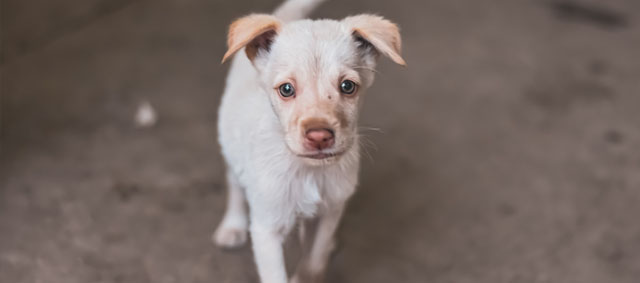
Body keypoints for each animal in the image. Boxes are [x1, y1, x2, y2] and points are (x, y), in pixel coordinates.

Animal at [214, 1, 404, 282]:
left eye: (348, 86)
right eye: (286, 89)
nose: (319, 137)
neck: (309, 171)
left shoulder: (329, 212)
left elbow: (314, 260)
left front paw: (309, 270)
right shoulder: (267, 228)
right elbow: (276, 275)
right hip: (230, 145)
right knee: (234, 184)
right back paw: (232, 226)